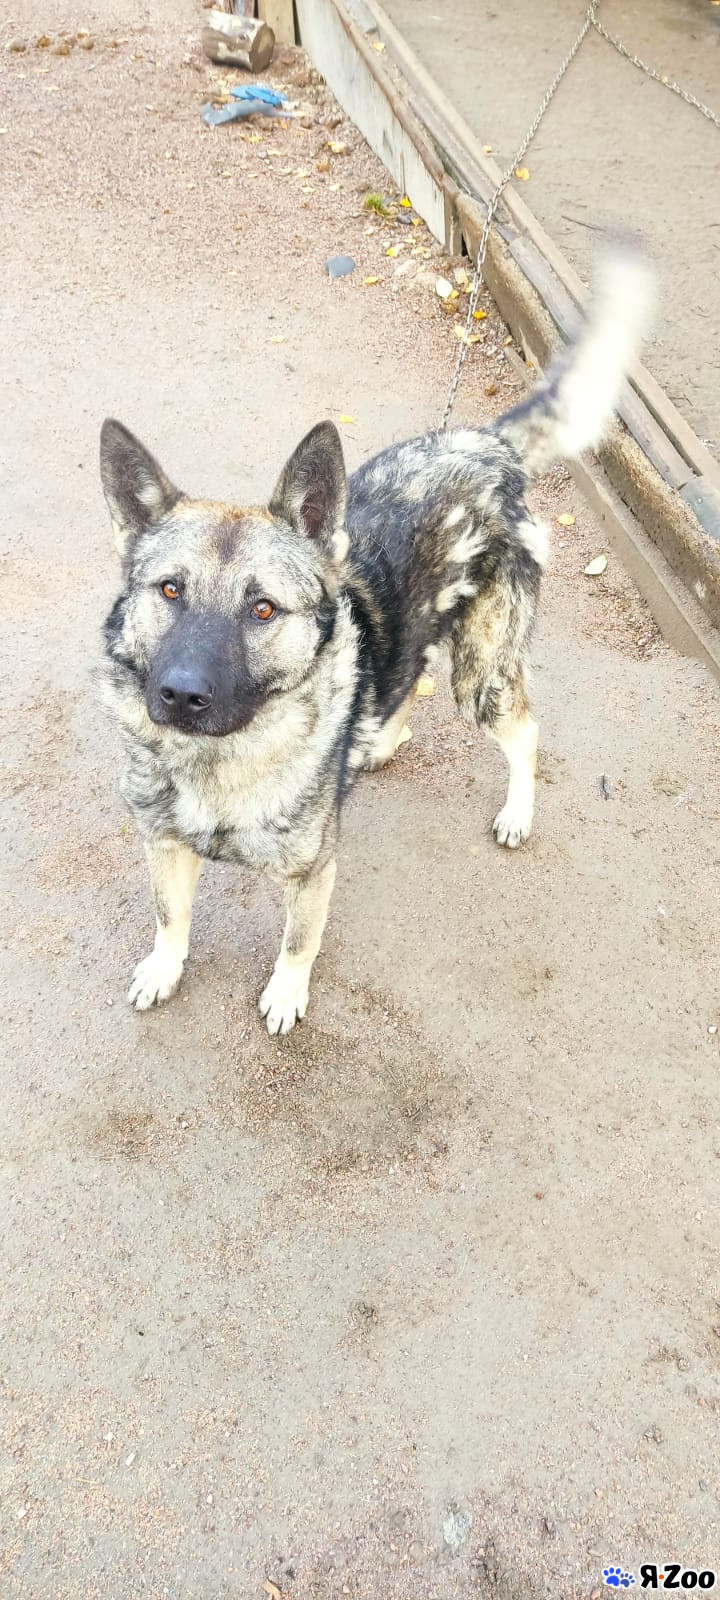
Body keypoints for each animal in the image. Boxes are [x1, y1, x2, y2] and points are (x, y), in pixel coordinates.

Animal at [100, 243, 652, 1030]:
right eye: (170, 590)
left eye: (262, 609)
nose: (179, 695)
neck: (224, 761)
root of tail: (484, 446)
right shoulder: (164, 844)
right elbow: (169, 917)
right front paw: (164, 967)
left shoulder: (312, 873)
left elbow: (297, 941)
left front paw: (286, 993)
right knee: (405, 676)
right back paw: (377, 742)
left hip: (480, 674)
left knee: (524, 731)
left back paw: (516, 810)